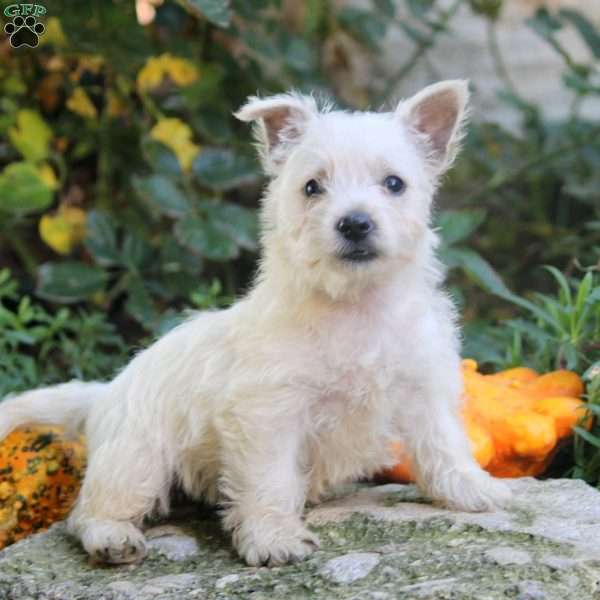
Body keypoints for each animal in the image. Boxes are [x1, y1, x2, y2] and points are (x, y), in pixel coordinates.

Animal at [0, 81, 510, 568]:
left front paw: (474, 489)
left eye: (394, 183)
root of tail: (103, 392)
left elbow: (443, 444)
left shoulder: (424, 386)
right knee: (91, 511)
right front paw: (273, 539)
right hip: (136, 455)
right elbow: (271, 480)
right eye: (312, 187)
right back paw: (113, 538)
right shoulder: (269, 415)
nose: (355, 223)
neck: (354, 305)